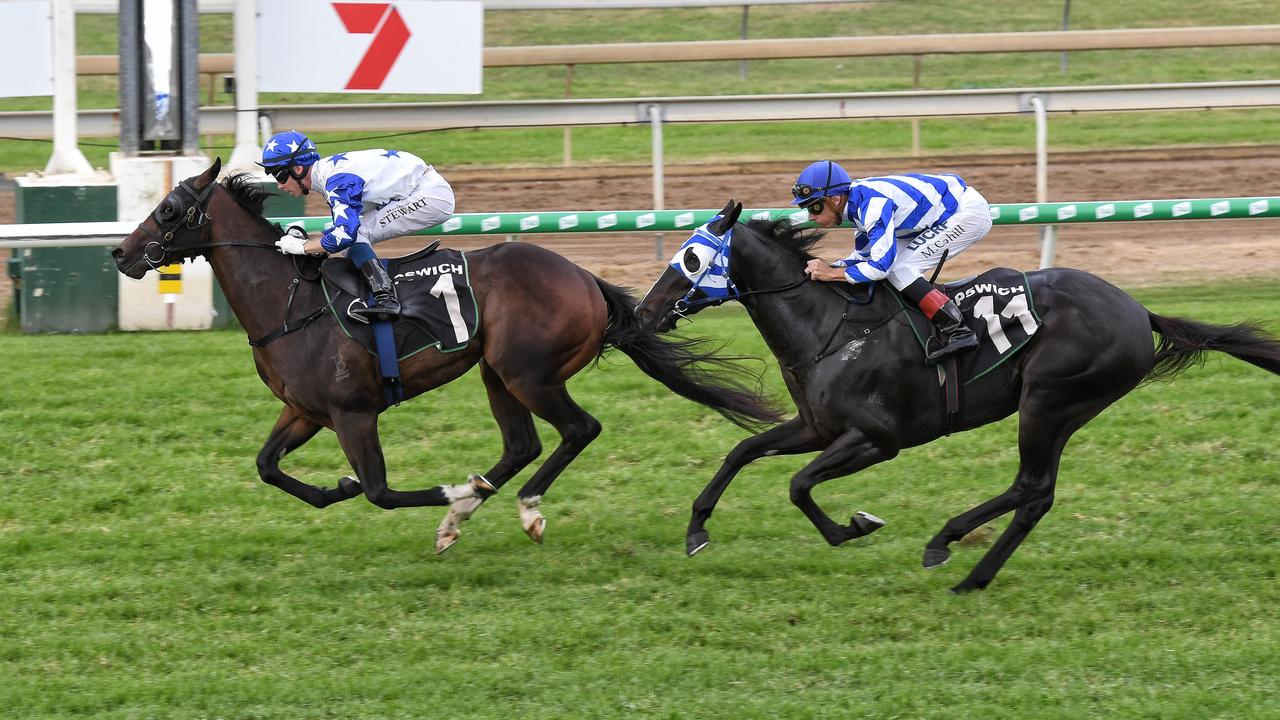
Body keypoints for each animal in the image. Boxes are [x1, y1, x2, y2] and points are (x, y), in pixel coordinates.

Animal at [110, 159, 773, 550]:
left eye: (169, 209)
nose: (121, 253)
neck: (290, 303)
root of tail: (585, 277)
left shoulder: (353, 414)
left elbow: (379, 490)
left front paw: (444, 493)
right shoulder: (304, 411)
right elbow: (268, 467)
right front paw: (337, 489)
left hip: (530, 373)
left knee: (579, 429)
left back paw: (517, 507)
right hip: (496, 372)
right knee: (522, 445)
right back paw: (471, 508)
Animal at [634, 199, 1274, 589]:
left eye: (691, 257)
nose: (642, 314)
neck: (830, 327)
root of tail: (1139, 310)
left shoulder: (876, 439)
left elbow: (798, 485)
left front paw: (852, 527)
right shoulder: (817, 426)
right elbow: (741, 453)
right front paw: (697, 531)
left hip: (1049, 400)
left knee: (1031, 486)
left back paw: (949, 546)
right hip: (1065, 408)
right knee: (1037, 495)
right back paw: (973, 573)